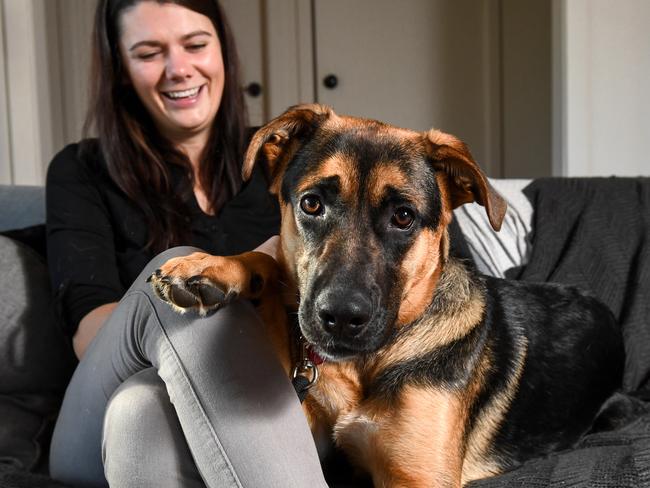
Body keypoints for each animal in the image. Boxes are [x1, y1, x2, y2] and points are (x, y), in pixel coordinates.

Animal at [151, 105, 624, 486]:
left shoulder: (415, 477)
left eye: (403, 216)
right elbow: (269, 266)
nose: (340, 318)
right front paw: (211, 268)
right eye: (311, 204)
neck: (364, 366)